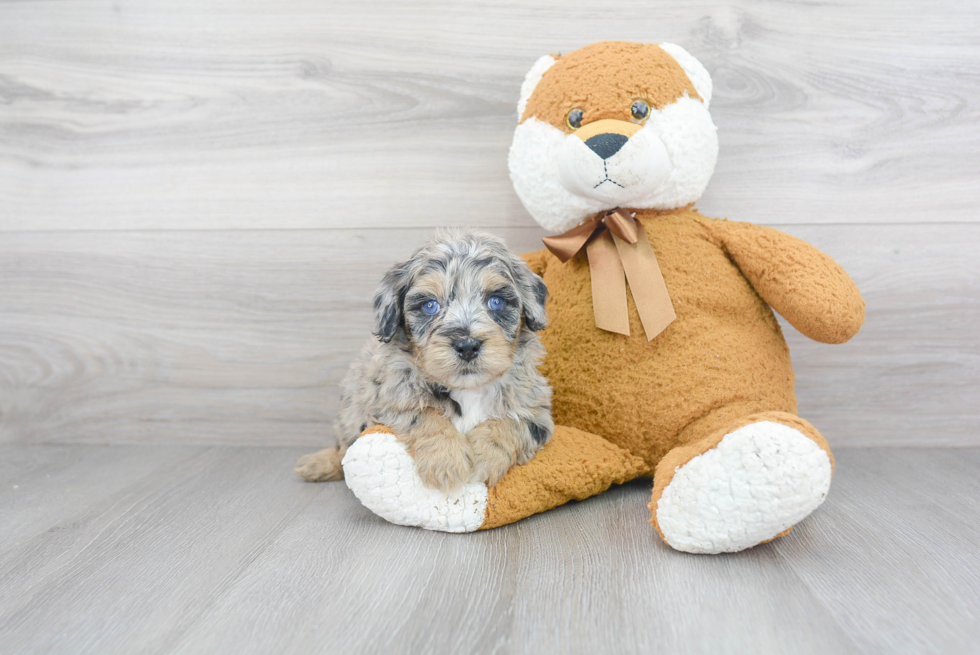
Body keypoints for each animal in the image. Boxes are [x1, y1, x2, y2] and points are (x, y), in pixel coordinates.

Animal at [292, 229, 552, 492]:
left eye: (496, 301)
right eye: (430, 305)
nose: (467, 346)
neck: (468, 390)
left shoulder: (537, 410)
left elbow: (512, 422)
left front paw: (484, 455)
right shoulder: (386, 401)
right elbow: (423, 414)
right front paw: (446, 460)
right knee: (342, 449)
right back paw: (317, 464)